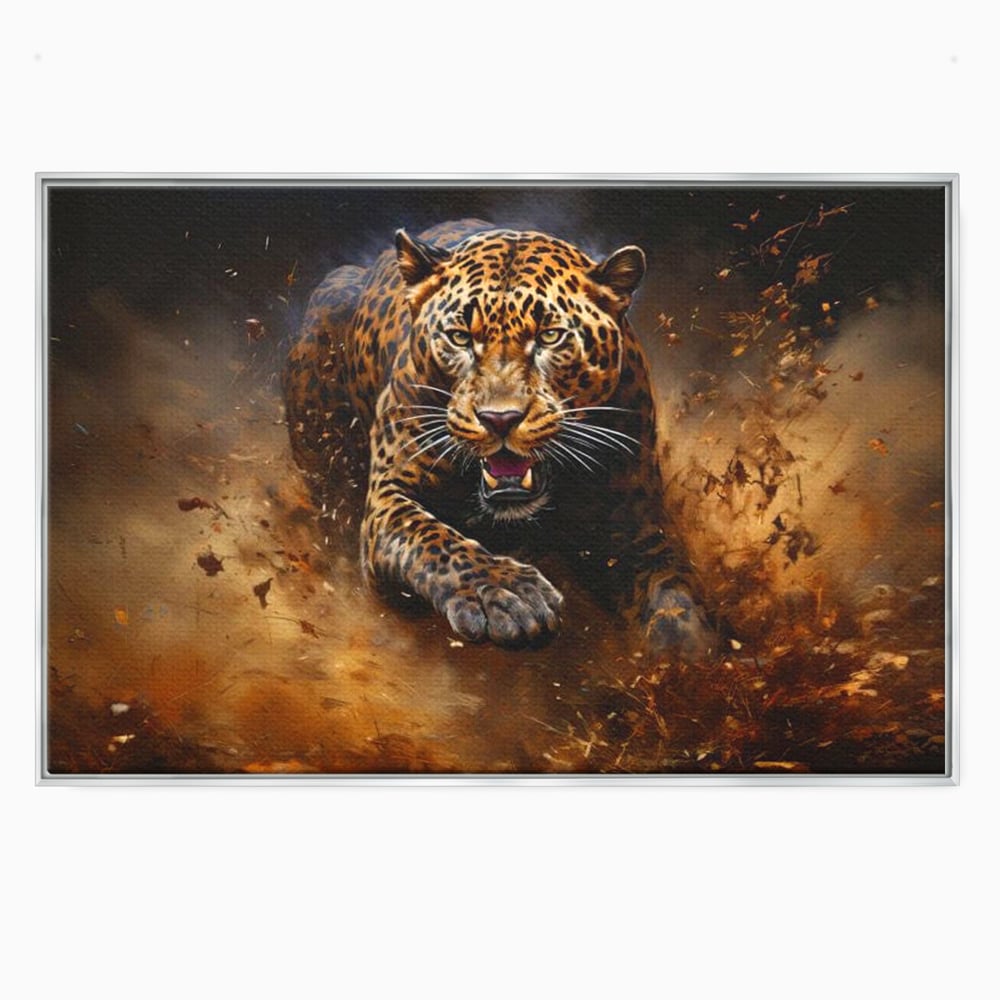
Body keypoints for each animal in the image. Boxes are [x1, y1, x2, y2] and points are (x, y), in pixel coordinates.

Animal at [282, 218, 715, 659]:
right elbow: (433, 539)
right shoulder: (389, 495)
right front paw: (509, 594)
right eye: (459, 337)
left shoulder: (636, 524)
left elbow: (673, 594)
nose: (500, 419)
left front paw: (690, 655)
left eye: (550, 336)